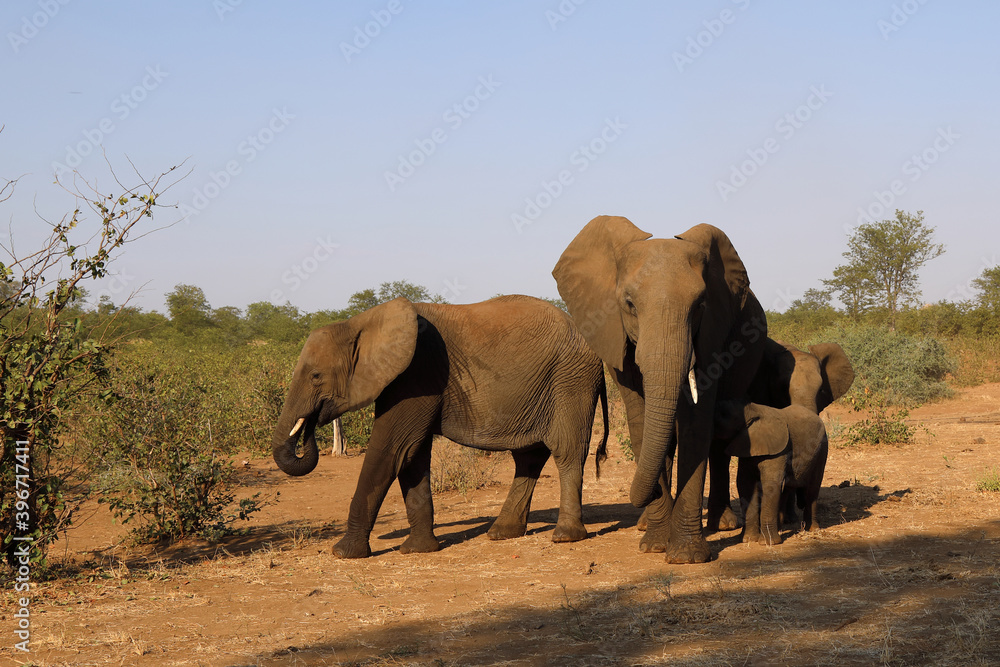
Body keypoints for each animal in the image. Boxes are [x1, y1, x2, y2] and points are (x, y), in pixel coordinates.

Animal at [271, 295, 609, 558]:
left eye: (316, 376)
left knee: (566, 452)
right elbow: (411, 456)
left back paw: (565, 536)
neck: (359, 323)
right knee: (528, 458)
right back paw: (502, 532)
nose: (310, 425)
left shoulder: (417, 373)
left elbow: (391, 451)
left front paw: (343, 552)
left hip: (571, 380)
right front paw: (418, 550)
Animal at [553, 215, 766, 563]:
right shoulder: (614, 335)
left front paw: (686, 556)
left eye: (700, 304)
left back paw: (721, 524)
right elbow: (640, 419)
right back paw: (646, 524)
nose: (642, 495)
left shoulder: (712, 335)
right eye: (629, 304)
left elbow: (697, 422)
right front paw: (654, 545)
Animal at [715, 401, 829, 545]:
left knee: (812, 488)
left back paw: (812, 529)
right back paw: (780, 530)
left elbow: (769, 484)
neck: (753, 411)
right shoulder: (747, 448)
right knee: (786, 489)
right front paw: (748, 540)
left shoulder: (778, 451)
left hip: (821, 449)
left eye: (723, 414)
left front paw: (767, 543)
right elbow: (744, 484)